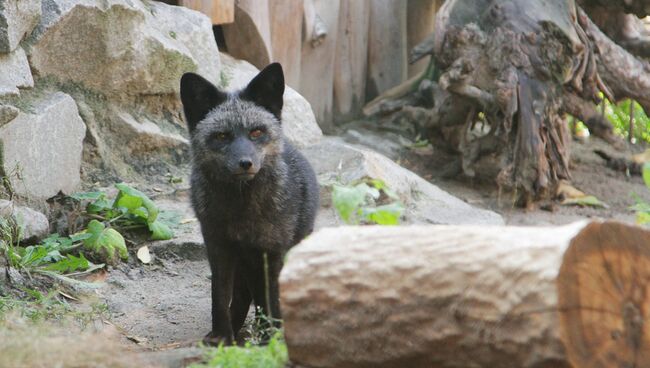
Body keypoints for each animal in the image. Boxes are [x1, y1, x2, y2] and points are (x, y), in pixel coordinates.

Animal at [178, 62, 318, 344]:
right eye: (222, 136)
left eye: (256, 132)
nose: (245, 163)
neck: (240, 210)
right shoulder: (218, 246)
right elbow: (220, 297)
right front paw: (222, 338)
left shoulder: (271, 251)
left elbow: (271, 299)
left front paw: (271, 340)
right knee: (243, 296)